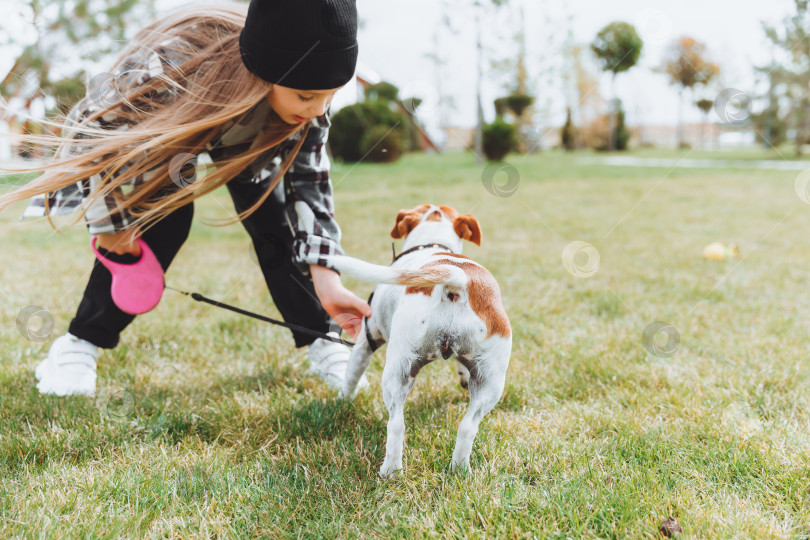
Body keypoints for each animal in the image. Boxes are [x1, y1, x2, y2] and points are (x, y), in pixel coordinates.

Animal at [326, 205, 508, 474]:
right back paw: (459, 469)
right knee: (468, 427)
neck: (432, 241)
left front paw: (341, 404)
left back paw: (390, 471)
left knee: (396, 424)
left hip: (397, 371)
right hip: (490, 382)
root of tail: (457, 280)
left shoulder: (366, 340)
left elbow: (350, 377)